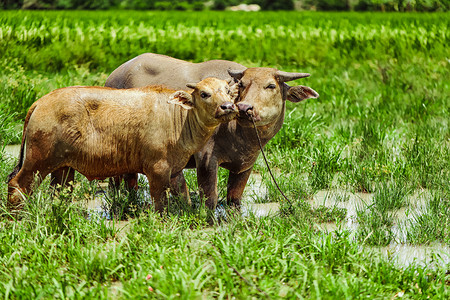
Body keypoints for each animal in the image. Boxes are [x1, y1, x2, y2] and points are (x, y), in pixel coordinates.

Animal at [7, 77, 237, 213]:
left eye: (227, 91)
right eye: (204, 94)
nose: (228, 106)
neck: (177, 118)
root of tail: (41, 101)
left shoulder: (174, 171)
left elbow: (183, 195)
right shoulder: (157, 169)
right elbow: (160, 202)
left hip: (63, 168)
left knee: (59, 192)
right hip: (37, 162)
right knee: (18, 185)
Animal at [104, 52, 320, 210]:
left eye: (271, 85)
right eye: (242, 84)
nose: (244, 108)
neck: (240, 136)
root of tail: (113, 76)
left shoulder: (247, 164)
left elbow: (234, 197)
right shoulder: (206, 158)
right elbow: (210, 198)